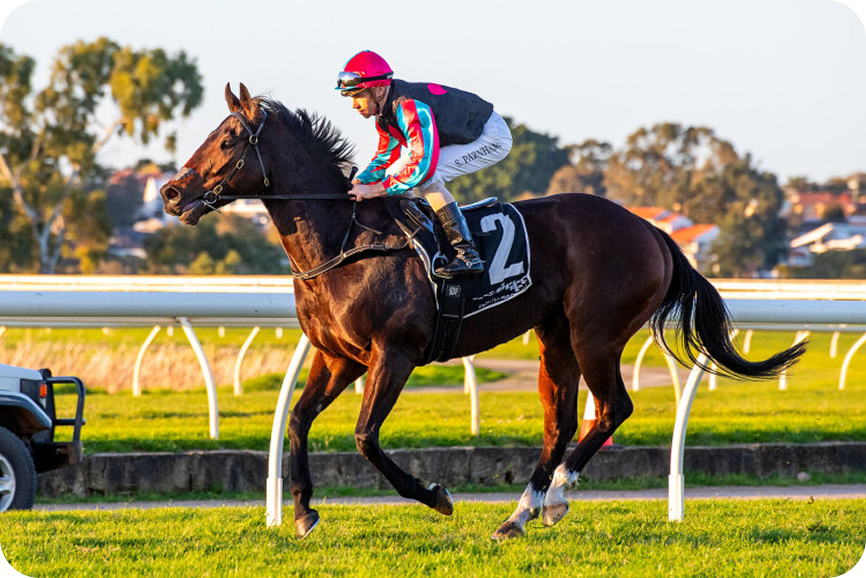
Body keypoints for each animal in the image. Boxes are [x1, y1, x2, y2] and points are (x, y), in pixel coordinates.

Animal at [160, 83, 805, 539]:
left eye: (227, 140)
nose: (170, 191)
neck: (345, 241)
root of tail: (652, 230)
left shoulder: (394, 354)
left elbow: (365, 436)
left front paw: (435, 496)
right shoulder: (338, 357)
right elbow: (296, 420)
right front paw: (301, 512)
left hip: (595, 331)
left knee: (611, 408)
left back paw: (559, 495)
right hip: (555, 336)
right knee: (561, 422)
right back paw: (520, 514)